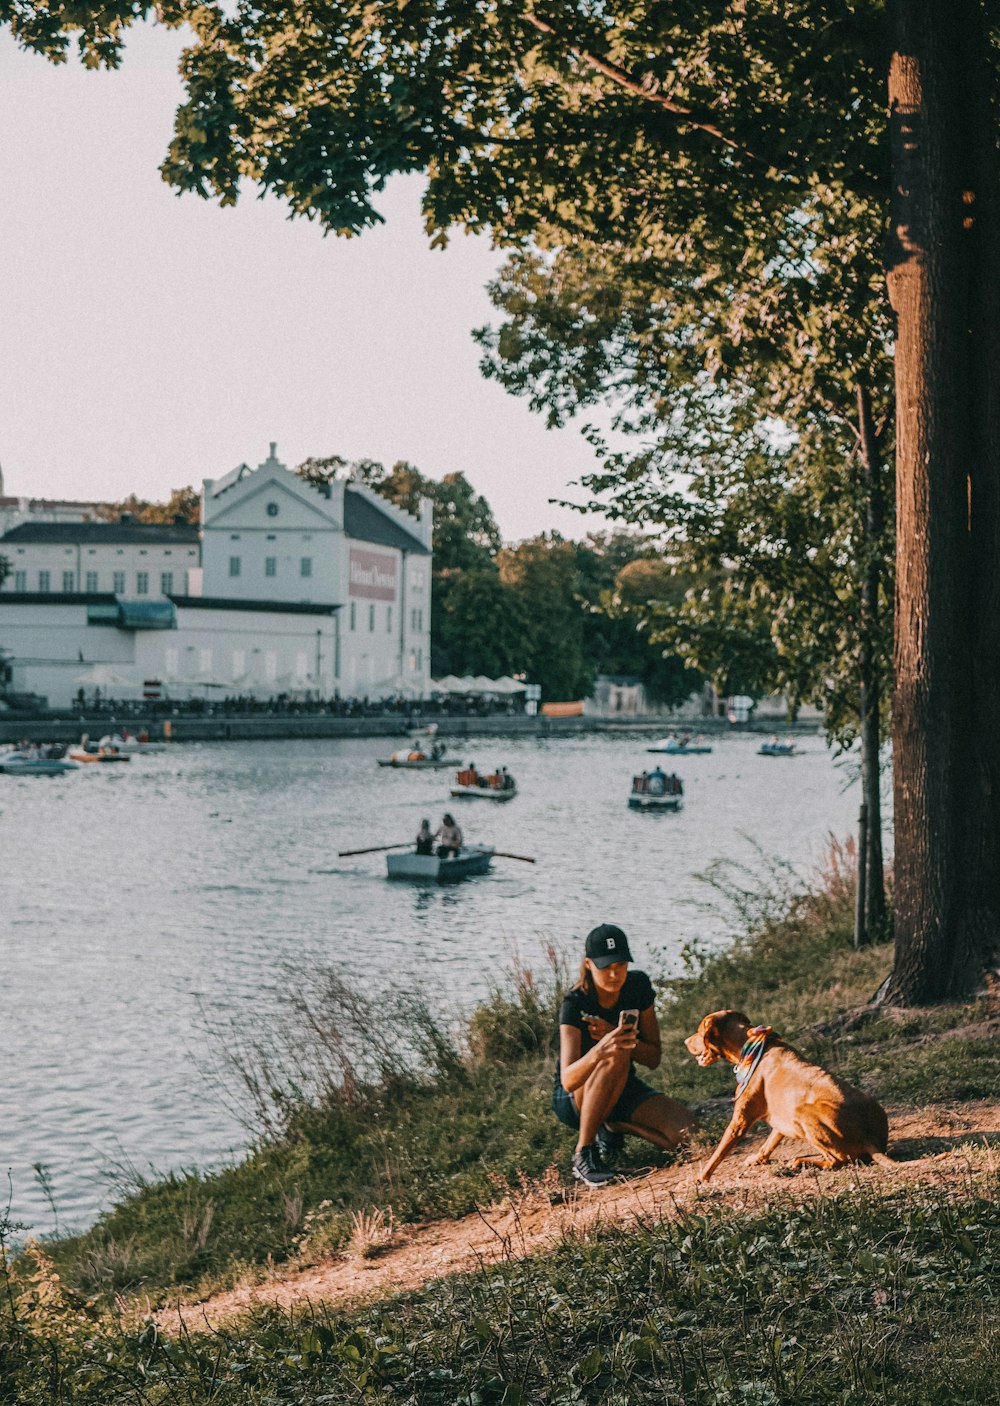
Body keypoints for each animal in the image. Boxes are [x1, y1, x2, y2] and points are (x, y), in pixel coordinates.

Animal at [689, 1006, 894, 1181]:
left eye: (699, 1031)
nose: (685, 1041)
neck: (751, 1046)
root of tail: (870, 1139)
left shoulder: (740, 1121)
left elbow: (718, 1152)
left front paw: (700, 1178)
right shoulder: (781, 1115)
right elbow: (770, 1141)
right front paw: (758, 1158)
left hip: (803, 1113)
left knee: (840, 1161)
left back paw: (801, 1162)